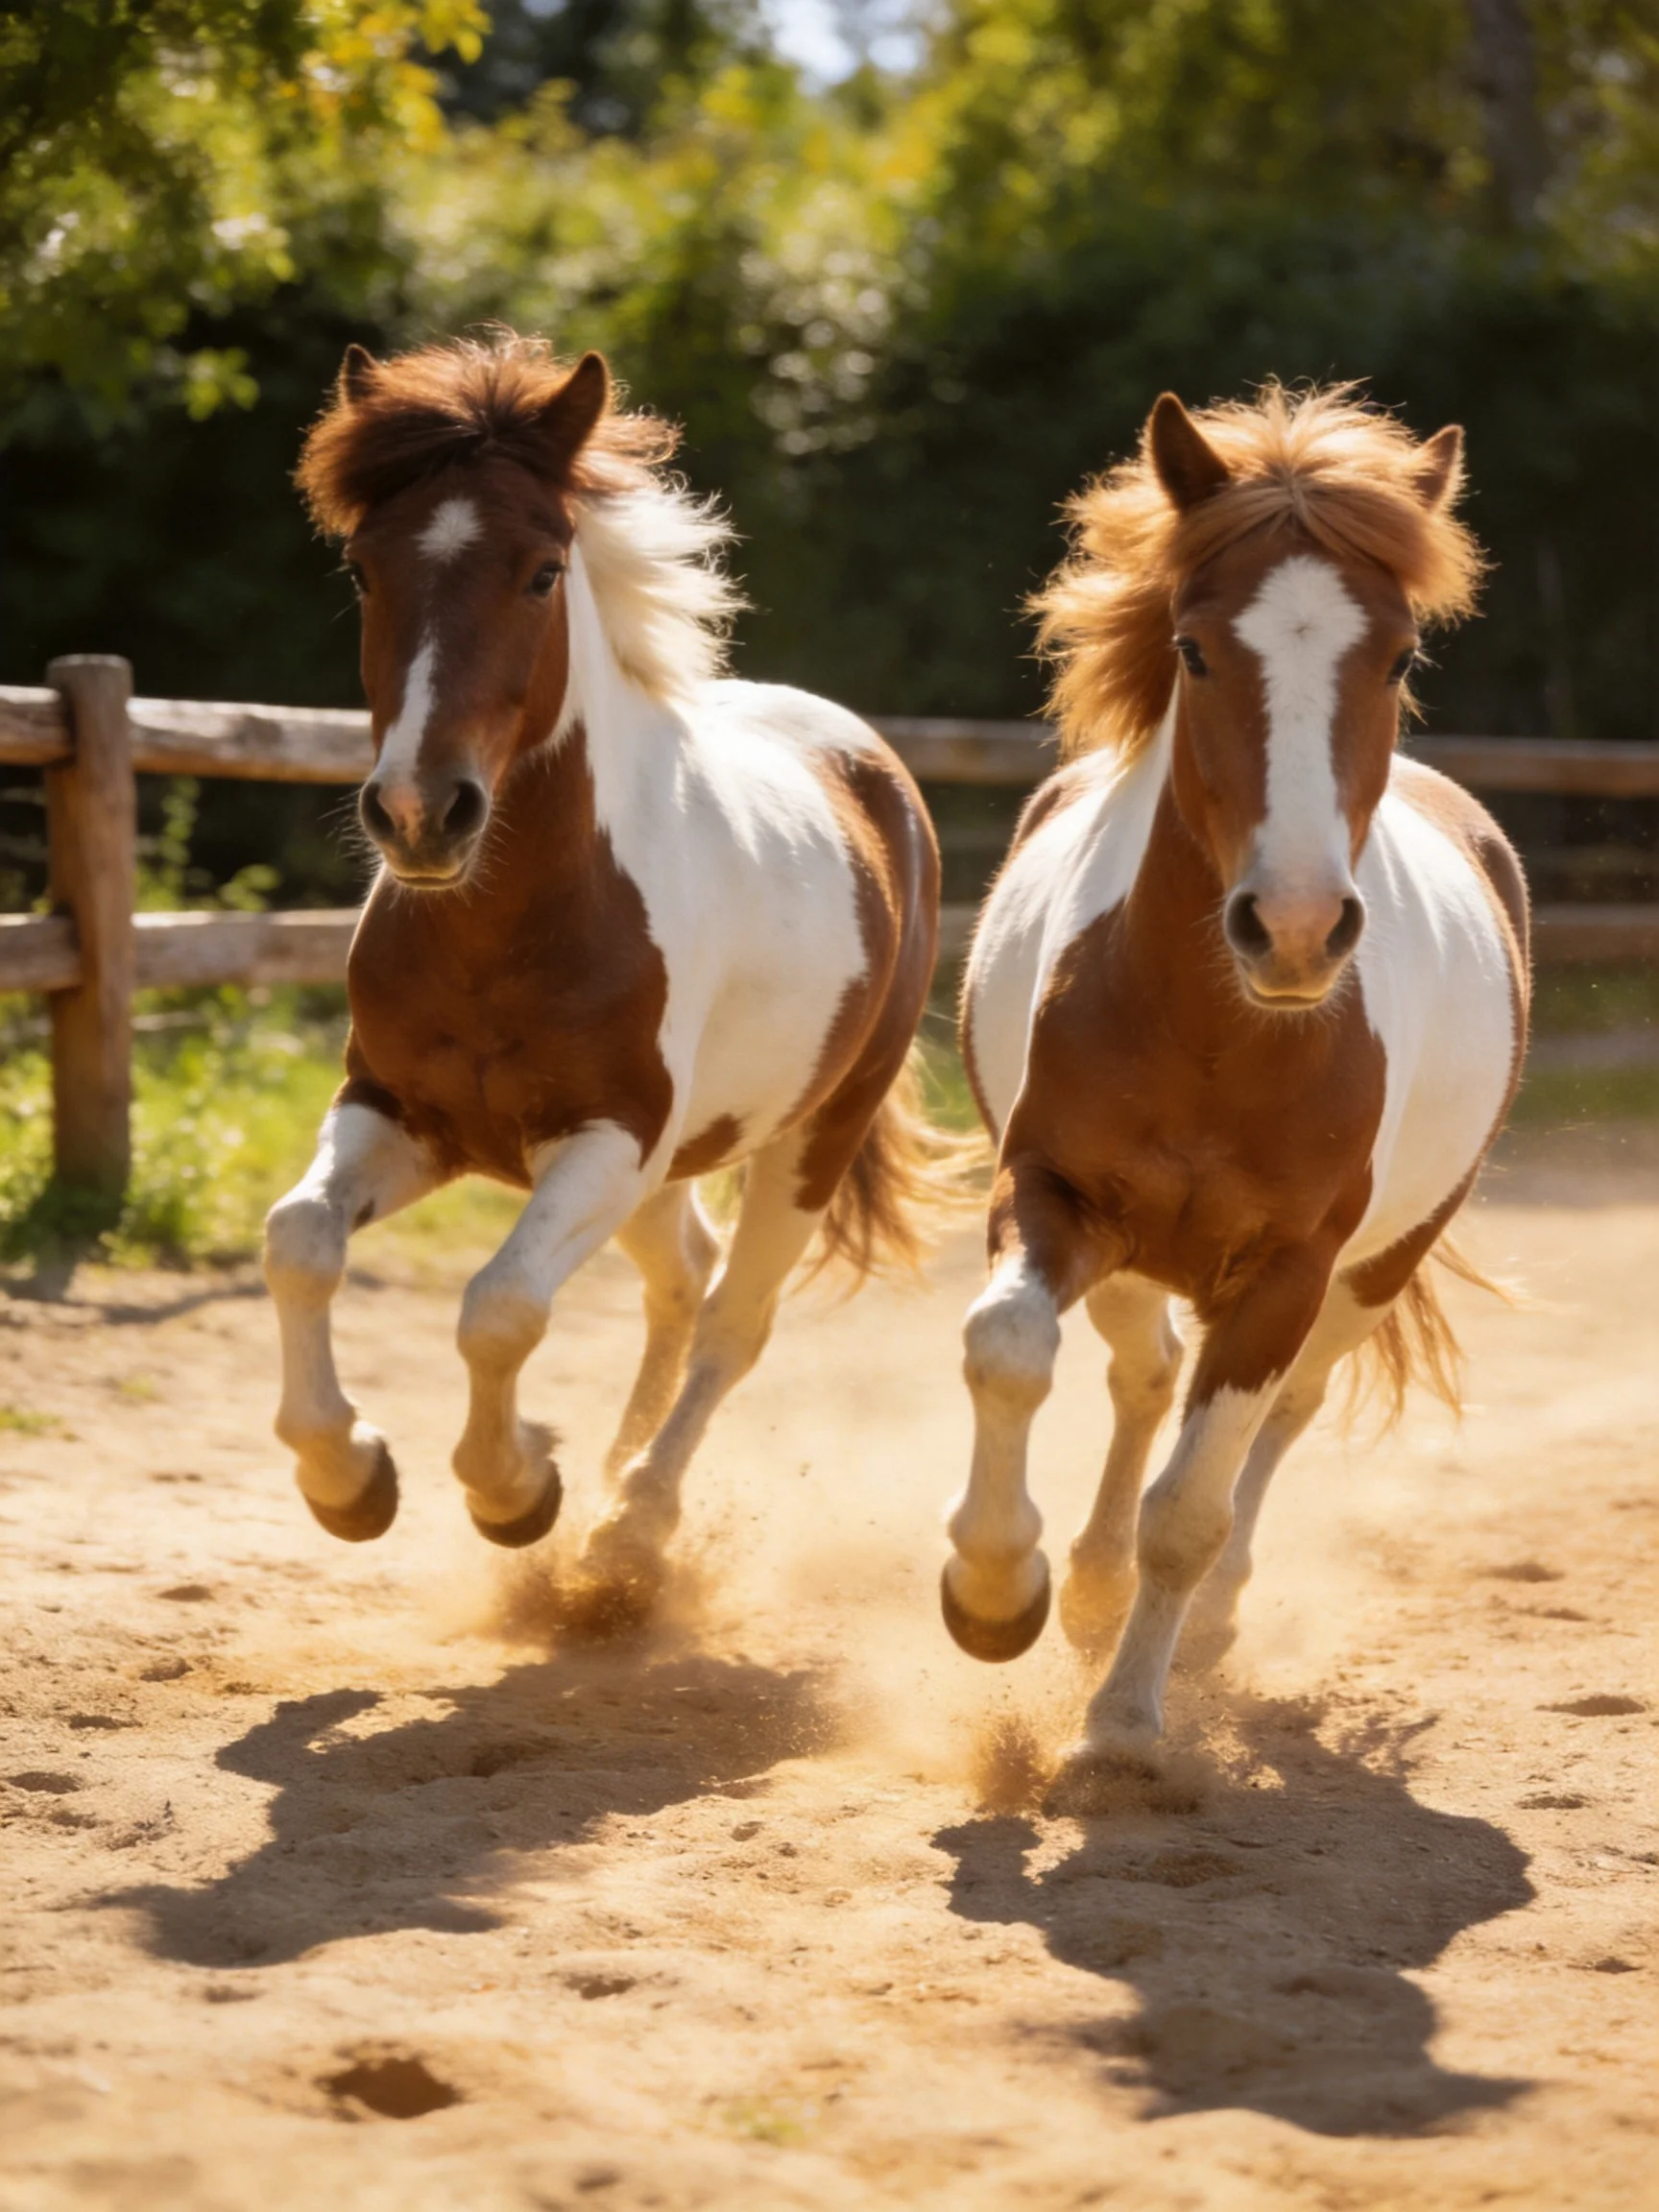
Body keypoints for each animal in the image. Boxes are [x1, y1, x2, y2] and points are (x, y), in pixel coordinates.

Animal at [263, 335, 940, 1615]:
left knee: (732, 1320)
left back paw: (632, 1528)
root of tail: (875, 768)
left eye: (540, 572)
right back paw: (617, 1488)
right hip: (676, 1164)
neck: (505, 931)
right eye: (366, 570)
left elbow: (500, 1307)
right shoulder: (397, 1114)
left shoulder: (607, 1137)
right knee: (683, 1284)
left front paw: (518, 1490)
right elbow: (300, 1240)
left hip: (806, 1141)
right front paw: (350, 1478)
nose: (420, 815)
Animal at [947, 384, 1529, 1808]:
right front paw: (995, 1592)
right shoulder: (1051, 1194)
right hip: (1134, 1252)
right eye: (1197, 651)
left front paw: (1122, 1726)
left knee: (1280, 1418)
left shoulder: (1285, 1274)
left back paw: (1196, 1630)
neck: (1223, 1037)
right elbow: (1009, 1348)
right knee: (1142, 1373)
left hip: (1369, 1273)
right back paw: (1082, 1586)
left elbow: (1194, 1511)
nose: (1300, 928)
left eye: (1398, 656)